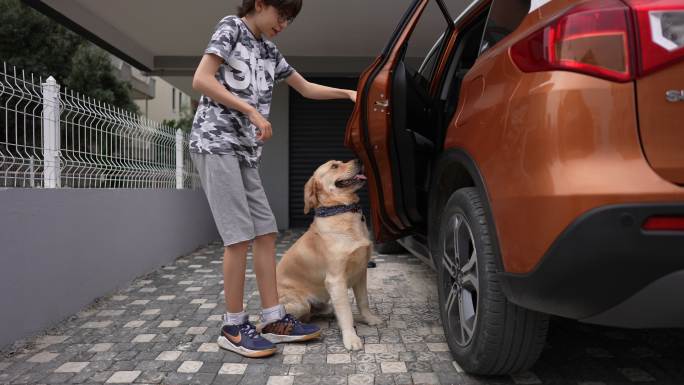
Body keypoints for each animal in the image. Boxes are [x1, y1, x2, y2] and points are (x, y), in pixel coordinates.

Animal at [278, 158, 384, 350]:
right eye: (334, 166)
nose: (359, 160)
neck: (343, 210)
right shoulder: (336, 280)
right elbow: (346, 312)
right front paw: (351, 338)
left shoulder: (361, 272)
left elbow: (363, 301)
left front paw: (370, 319)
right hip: (300, 304)